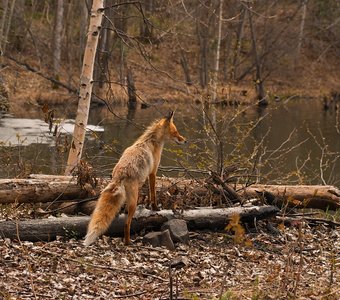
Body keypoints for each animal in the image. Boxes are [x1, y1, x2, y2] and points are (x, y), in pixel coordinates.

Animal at [84, 110, 187, 246]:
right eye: (175, 132)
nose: (185, 141)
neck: (152, 140)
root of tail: (120, 174)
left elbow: (149, 193)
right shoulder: (153, 172)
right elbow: (153, 194)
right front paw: (155, 208)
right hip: (134, 200)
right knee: (126, 224)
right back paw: (128, 242)